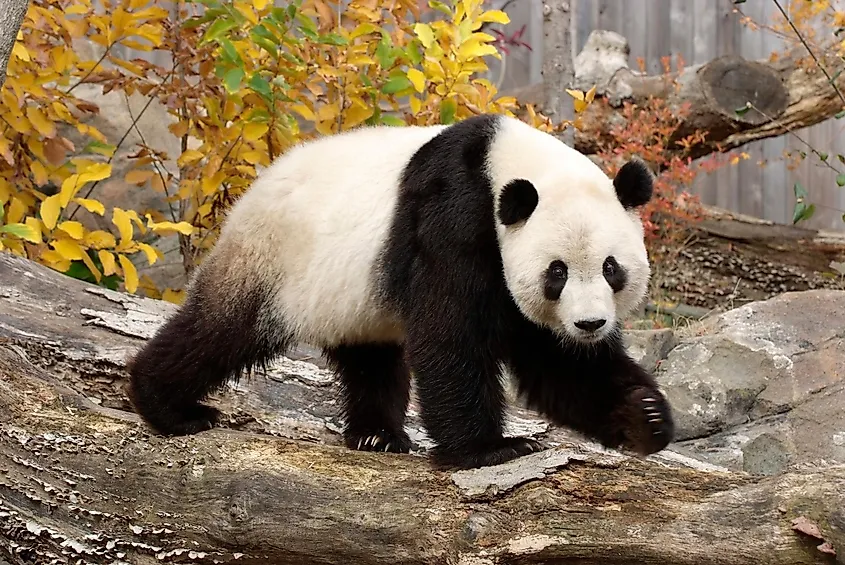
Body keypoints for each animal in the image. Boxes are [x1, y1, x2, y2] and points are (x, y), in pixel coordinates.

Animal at [129, 112, 676, 470]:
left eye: (610, 268)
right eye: (556, 272)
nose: (589, 324)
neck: (507, 163)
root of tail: (252, 191)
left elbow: (558, 363)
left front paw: (644, 415)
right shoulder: (452, 213)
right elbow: (450, 333)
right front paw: (489, 450)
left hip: (350, 295)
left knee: (370, 358)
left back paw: (377, 436)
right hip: (273, 258)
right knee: (221, 330)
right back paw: (167, 406)